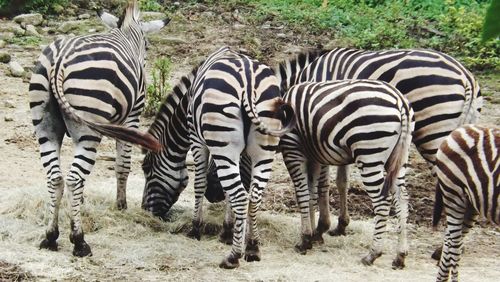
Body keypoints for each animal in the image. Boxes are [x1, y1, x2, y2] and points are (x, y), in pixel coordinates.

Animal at [28, 0, 166, 256]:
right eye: (148, 46)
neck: (125, 35)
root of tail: (59, 60)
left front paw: (81, 205)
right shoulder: (132, 118)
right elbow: (122, 165)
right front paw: (121, 205)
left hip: (45, 126)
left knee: (56, 177)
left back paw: (50, 236)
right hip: (88, 129)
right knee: (73, 179)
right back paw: (79, 241)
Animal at [141, 46, 294, 268]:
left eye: (146, 169)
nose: (145, 210)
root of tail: (248, 82)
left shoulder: (197, 140)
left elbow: (199, 184)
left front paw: (196, 229)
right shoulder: (241, 156)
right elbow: (234, 188)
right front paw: (228, 231)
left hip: (224, 143)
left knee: (241, 196)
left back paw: (233, 257)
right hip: (264, 149)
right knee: (254, 196)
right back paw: (253, 248)